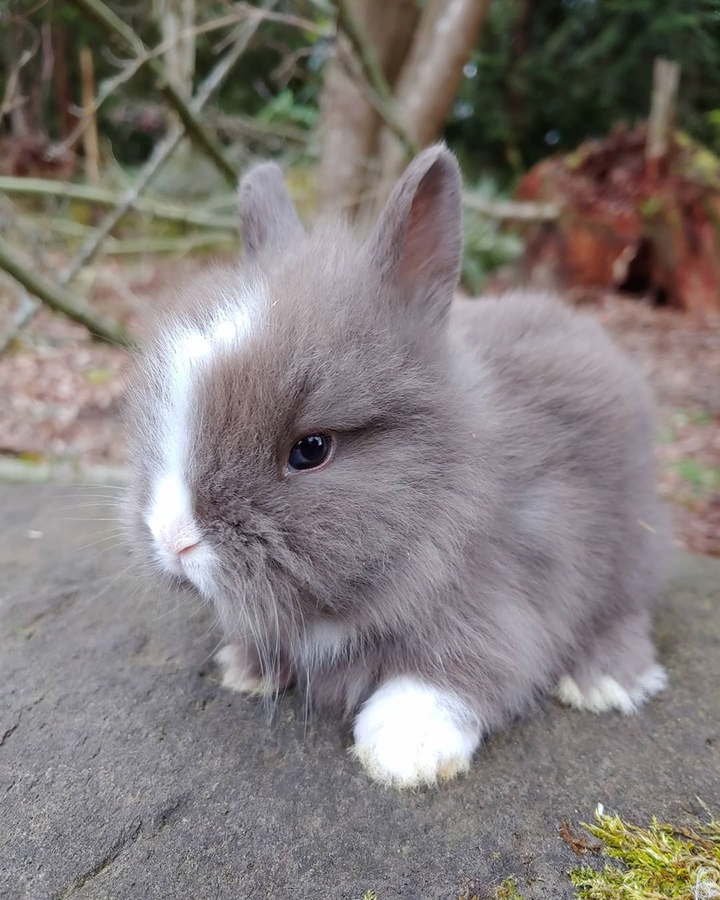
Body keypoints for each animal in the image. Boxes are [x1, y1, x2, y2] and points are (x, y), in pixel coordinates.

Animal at [124, 144, 671, 788]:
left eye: (311, 449)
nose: (173, 538)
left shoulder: (511, 588)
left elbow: (455, 670)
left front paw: (404, 751)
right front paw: (247, 668)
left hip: (627, 551)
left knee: (624, 613)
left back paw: (605, 683)